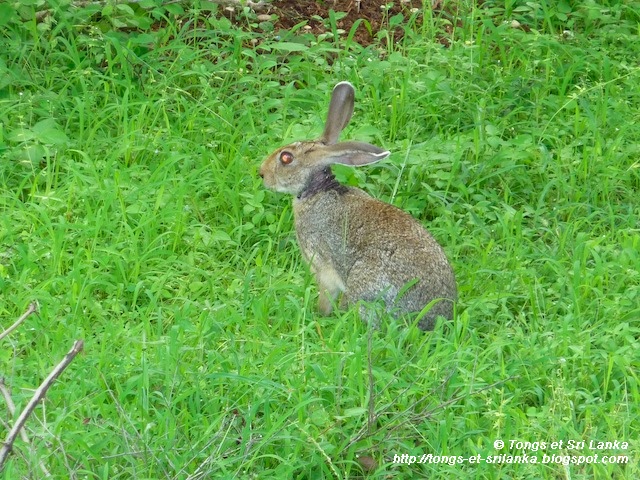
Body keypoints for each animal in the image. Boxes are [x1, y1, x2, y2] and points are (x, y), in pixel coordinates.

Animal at [258, 82, 458, 330]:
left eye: (286, 158)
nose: (262, 173)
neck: (318, 191)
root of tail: (431, 320)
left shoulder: (321, 265)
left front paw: (319, 314)